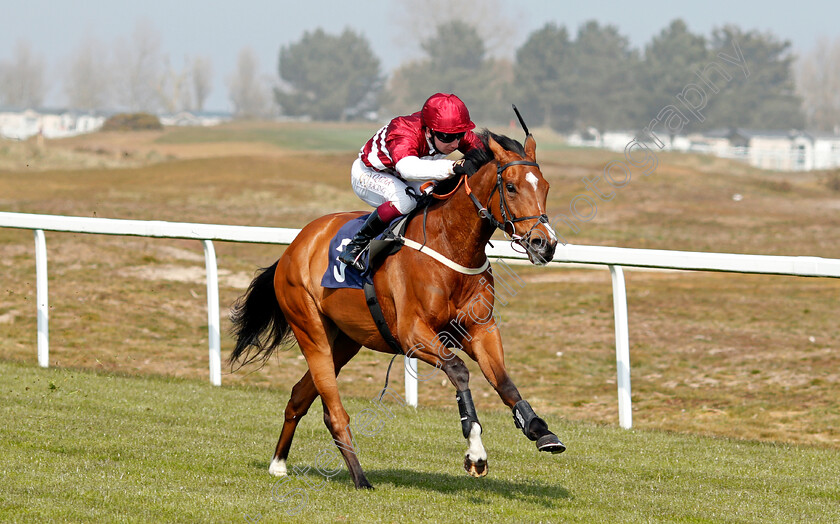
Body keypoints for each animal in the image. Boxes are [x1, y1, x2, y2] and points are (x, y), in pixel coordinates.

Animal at [228, 129, 564, 490]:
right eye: (511, 187)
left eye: (545, 186)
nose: (546, 244)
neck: (450, 245)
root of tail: (294, 247)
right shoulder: (413, 335)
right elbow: (459, 370)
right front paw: (475, 452)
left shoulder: (480, 330)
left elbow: (504, 381)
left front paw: (540, 430)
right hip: (311, 331)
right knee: (333, 411)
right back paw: (360, 478)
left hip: (345, 341)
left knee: (299, 396)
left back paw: (278, 463)